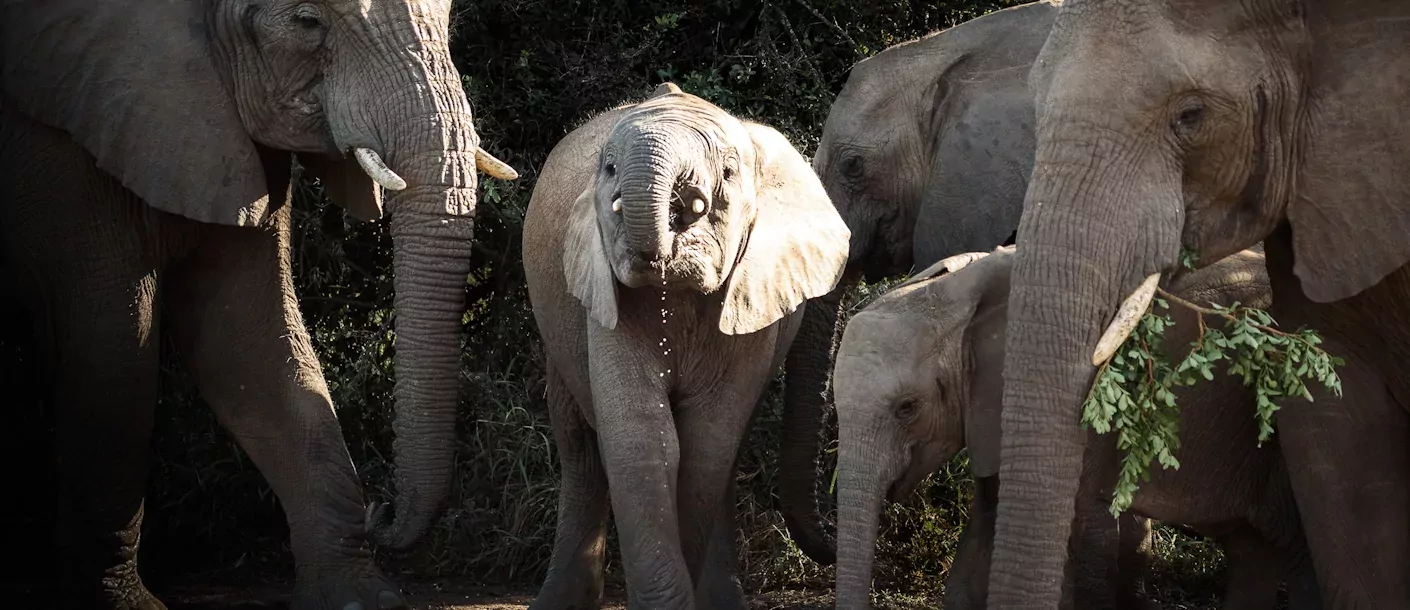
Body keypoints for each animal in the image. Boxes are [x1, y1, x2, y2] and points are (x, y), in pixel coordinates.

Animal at [0, 2, 518, 605]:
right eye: (306, 22)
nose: (382, 511)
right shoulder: (64, 156)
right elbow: (112, 361)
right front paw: (123, 603)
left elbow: (248, 345)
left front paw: (359, 597)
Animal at [521, 82, 846, 608]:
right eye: (607, 168)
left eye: (730, 171)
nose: (685, 201)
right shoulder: (605, 292)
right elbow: (645, 438)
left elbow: (705, 444)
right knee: (578, 447)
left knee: (726, 451)